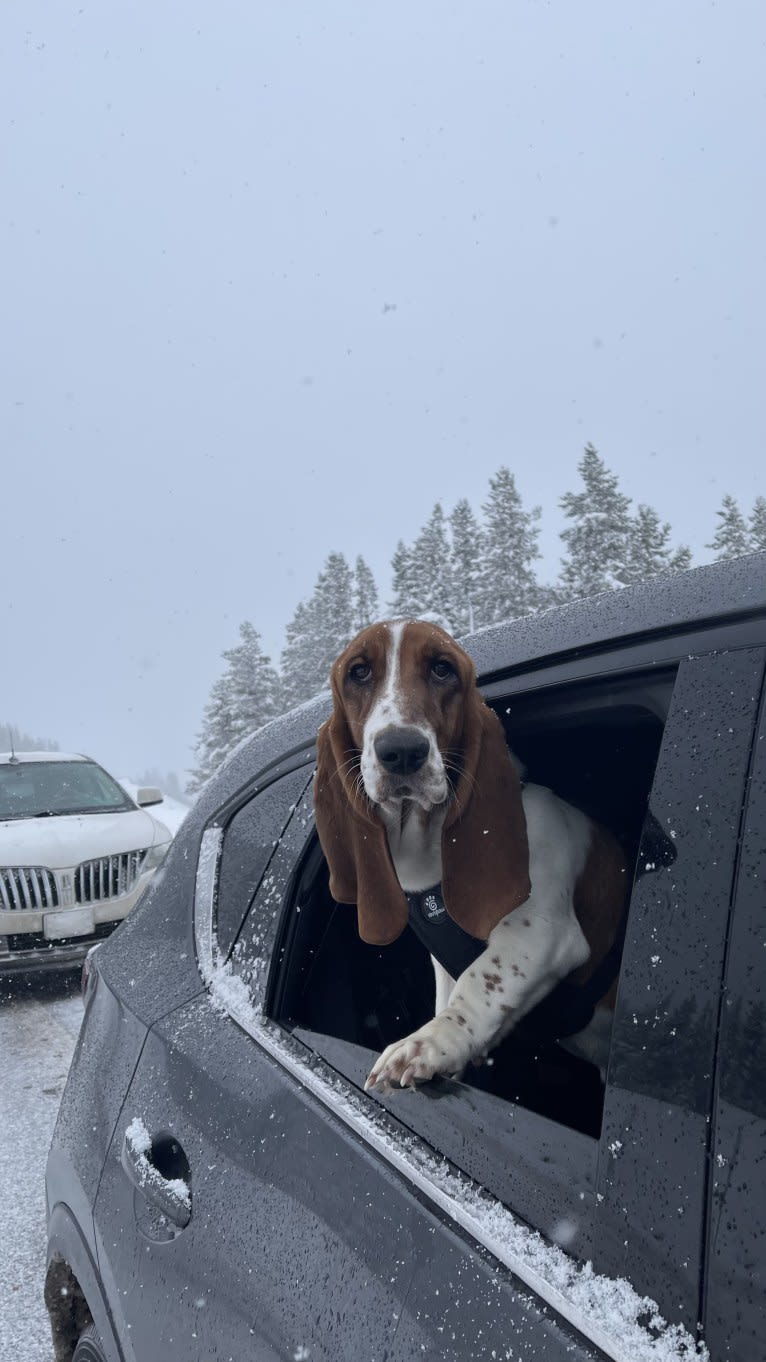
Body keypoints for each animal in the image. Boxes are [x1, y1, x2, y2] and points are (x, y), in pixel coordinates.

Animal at [312, 623, 626, 1089]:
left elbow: (480, 982)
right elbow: (453, 990)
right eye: (359, 672)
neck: (429, 849)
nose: (402, 750)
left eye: (443, 669)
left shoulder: (541, 932)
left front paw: (427, 1044)